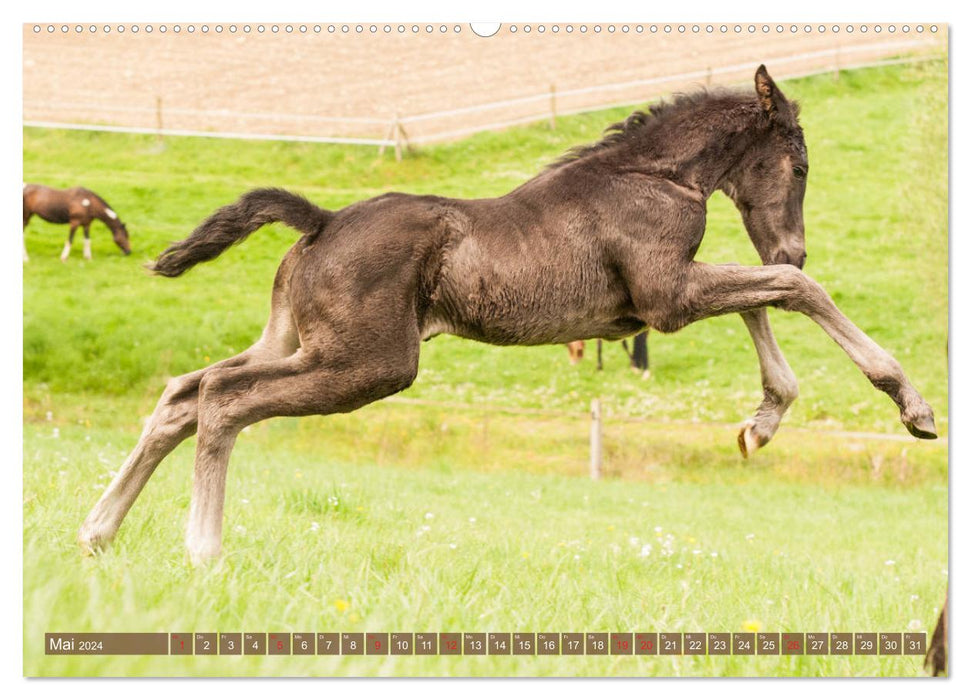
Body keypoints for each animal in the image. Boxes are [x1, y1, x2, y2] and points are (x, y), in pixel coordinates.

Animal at [79, 67, 936, 564]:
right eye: (800, 165)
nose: (795, 244)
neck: (654, 175)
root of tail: (321, 220)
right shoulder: (666, 297)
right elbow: (789, 292)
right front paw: (909, 405)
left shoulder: (659, 303)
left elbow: (761, 300)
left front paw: (762, 421)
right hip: (366, 364)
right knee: (223, 403)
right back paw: (201, 550)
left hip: (298, 343)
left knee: (185, 392)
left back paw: (98, 532)